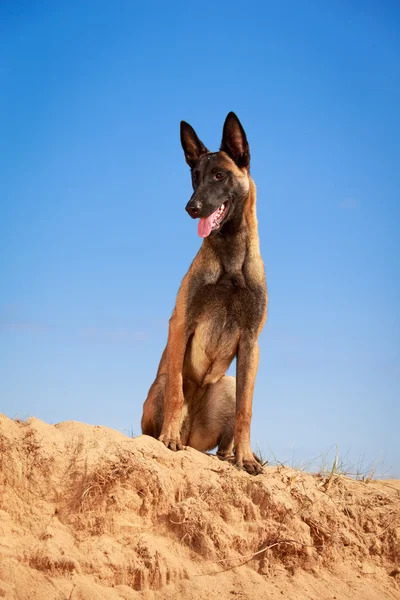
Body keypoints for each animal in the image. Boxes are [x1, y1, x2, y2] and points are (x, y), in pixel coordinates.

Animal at [141, 112, 268, 476]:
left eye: (219, 175)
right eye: (194, 177)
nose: (191, 207)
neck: (231, 259)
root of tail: (192, 438)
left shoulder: (251, 341)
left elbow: (246, 410)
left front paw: (246, 458)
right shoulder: (181, 324)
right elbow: (175, 393)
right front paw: (168, 437)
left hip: (225, 384)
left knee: (226, 434)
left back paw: (232, 455)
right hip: (159, 383)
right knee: (166, 401)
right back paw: (172, 436)